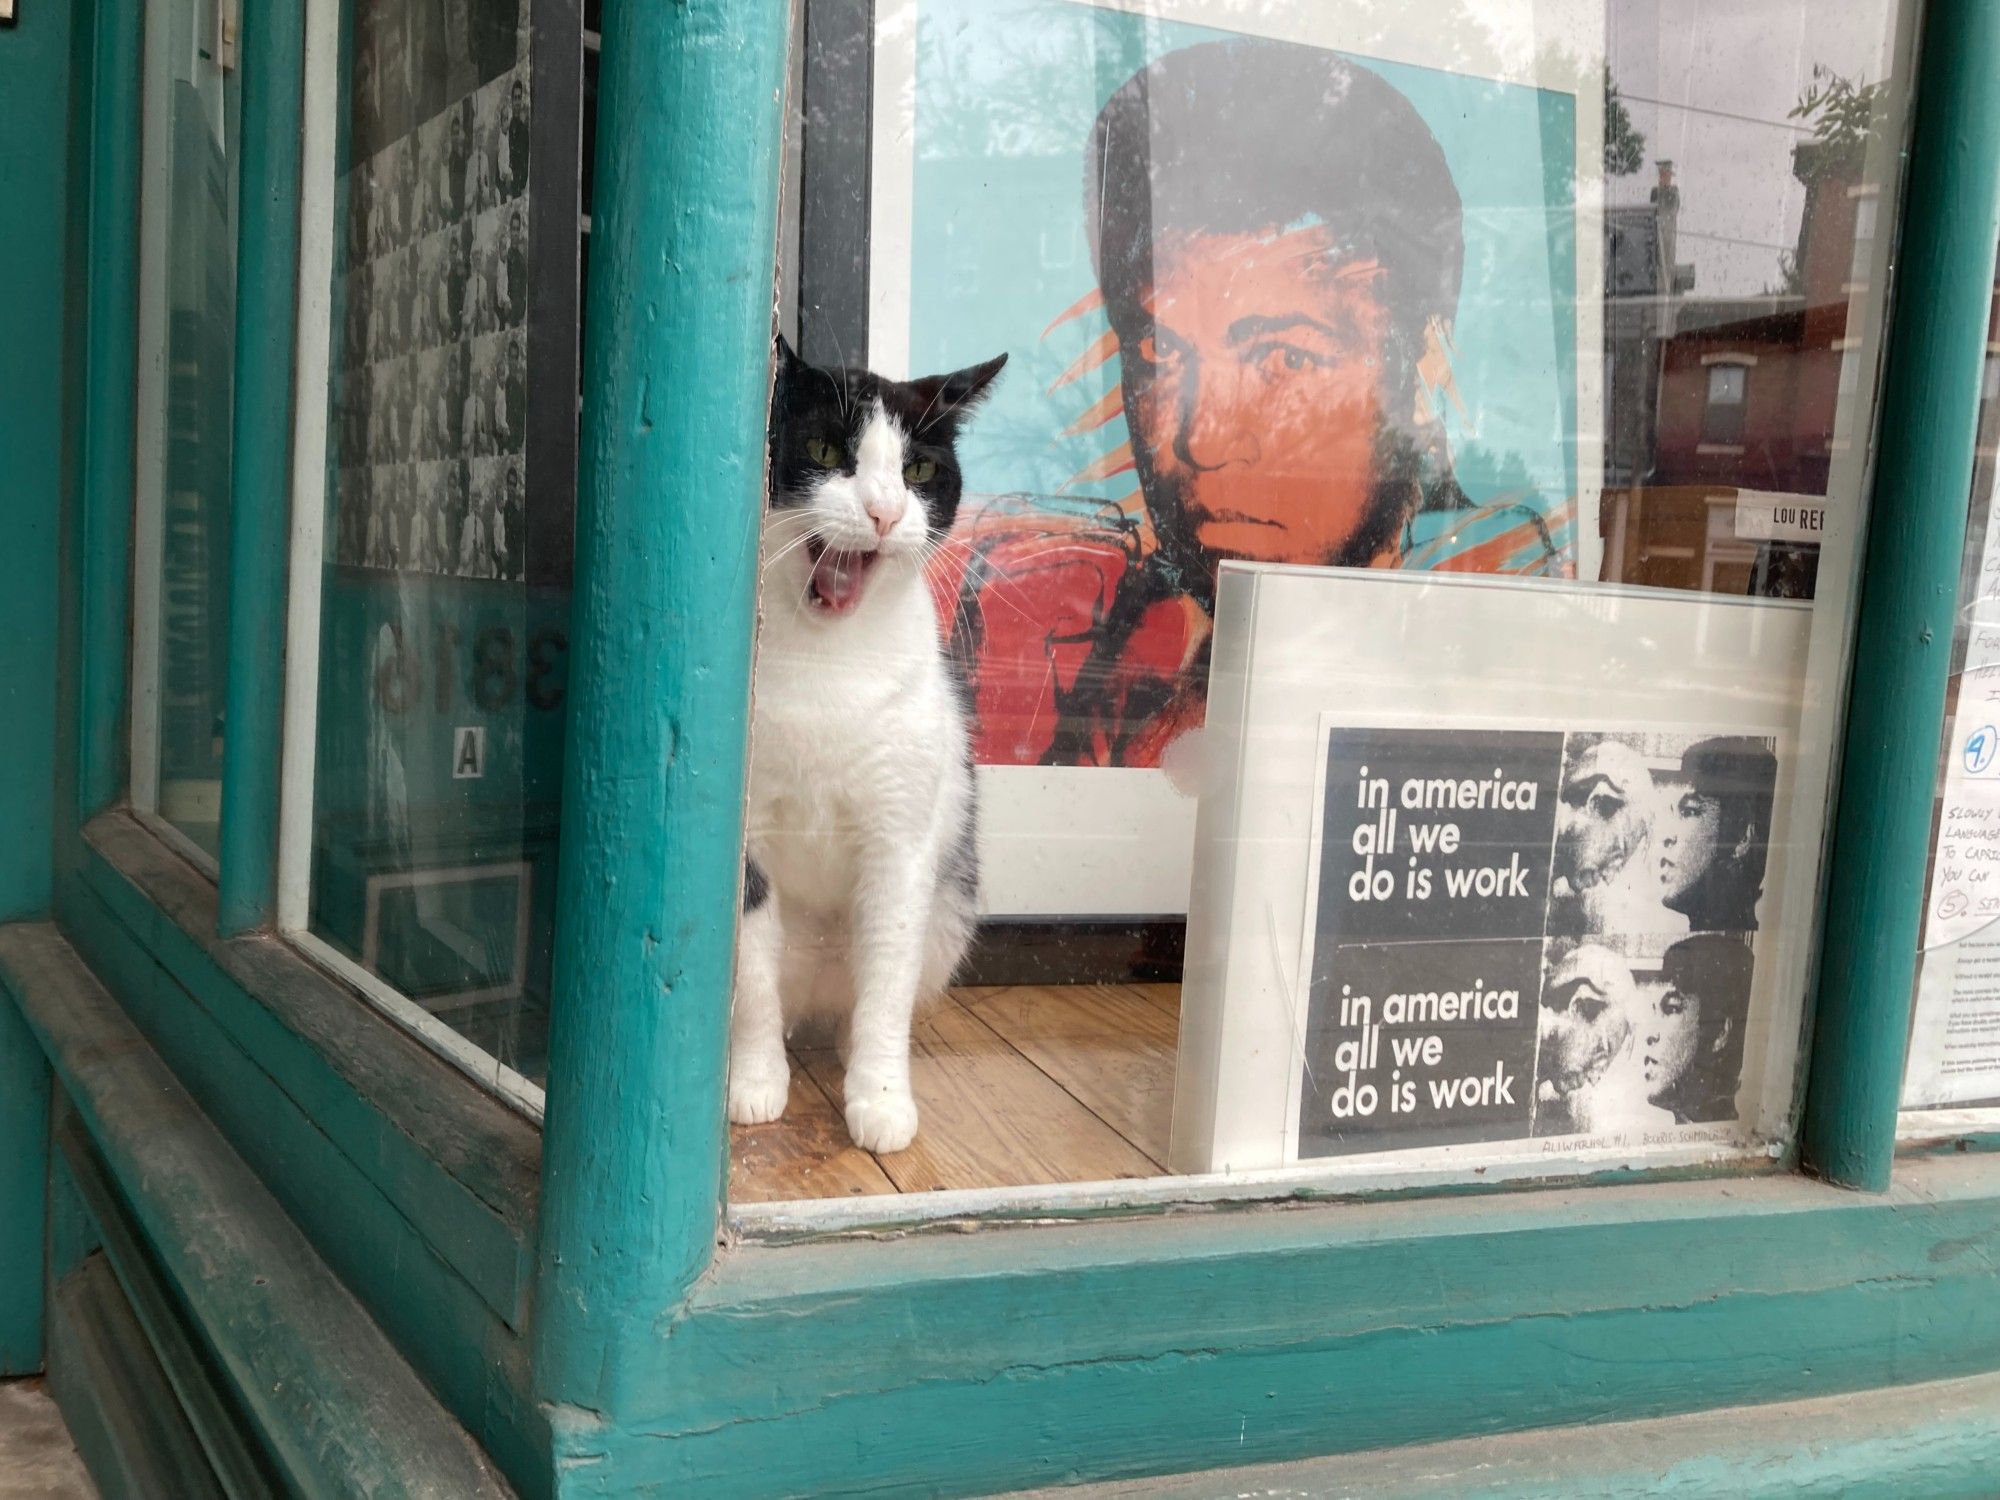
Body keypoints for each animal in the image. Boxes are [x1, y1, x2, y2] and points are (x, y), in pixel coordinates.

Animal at [732, 340, 1008, 1160]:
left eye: (918, 469)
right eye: (826, 451)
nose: (884, 512)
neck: (831, 663)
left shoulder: (901, 842)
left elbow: (886, 979)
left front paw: (881, 1099)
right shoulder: (744, 840)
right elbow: (751, 978)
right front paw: (754, 1081)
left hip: (951, 907)